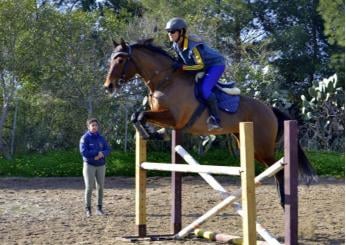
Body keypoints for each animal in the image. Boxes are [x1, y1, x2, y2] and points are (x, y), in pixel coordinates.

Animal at [102, 38, 316, 207]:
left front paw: (147, 133)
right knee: (272, 169)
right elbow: (137, 116)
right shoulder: (165, 117)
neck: (165, 80)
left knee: (278, 169)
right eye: (111, 59)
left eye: (120, 60)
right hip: (248, 145)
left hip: (262, 147)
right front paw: (154, 134)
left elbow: (140, 115)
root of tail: (269, 109)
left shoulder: (174, 118)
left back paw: (284, 201)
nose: (108, 86)